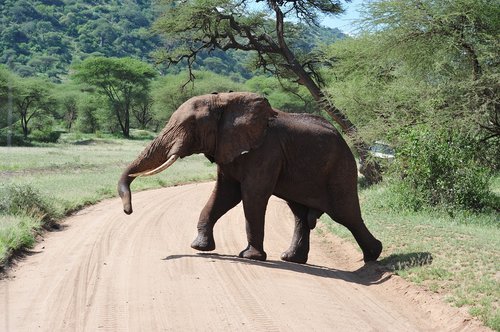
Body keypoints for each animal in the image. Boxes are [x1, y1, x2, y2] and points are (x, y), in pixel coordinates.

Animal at [118, 91, 382, 264]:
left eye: (190, 124)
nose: (128, 210)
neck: (225, 100)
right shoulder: (229, 148)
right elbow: (224, 195)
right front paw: (199, 247)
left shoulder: (267, 151)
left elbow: (251, 196)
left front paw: (250, 257)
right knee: (299, 213)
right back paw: (292, 259)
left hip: (341, 168)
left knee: (345, 214)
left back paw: (373, 256)